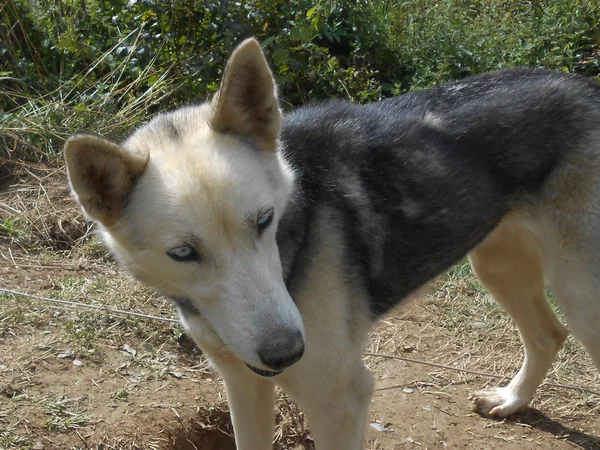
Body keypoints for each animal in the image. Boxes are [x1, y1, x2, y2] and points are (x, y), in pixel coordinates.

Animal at [63, 39, 600, 450]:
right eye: (183, 253)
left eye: (265, 220)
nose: (287, 354)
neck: (294, 235)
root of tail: (588, 87)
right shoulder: (243, 385)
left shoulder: (340, 399)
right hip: (498, 264)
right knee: (547, 334)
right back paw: (513, 400)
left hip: (578, 293)